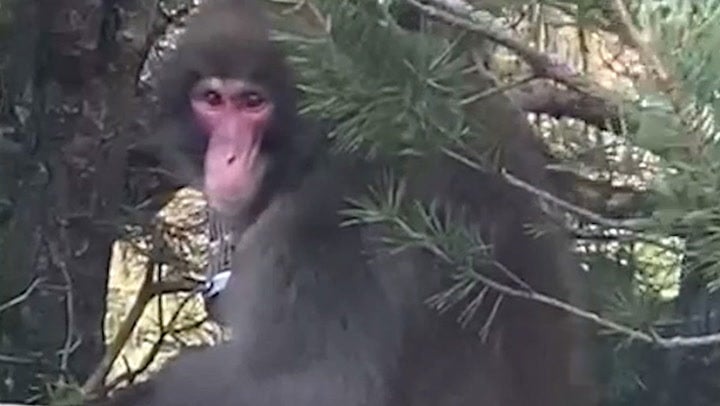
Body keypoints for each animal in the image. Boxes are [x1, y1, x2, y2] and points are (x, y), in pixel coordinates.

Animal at [98, 0, 597, 404]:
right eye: (212, 99)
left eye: (253, 102)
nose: (227, 156)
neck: (324, 137)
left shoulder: (323, 225)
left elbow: (314, 388)